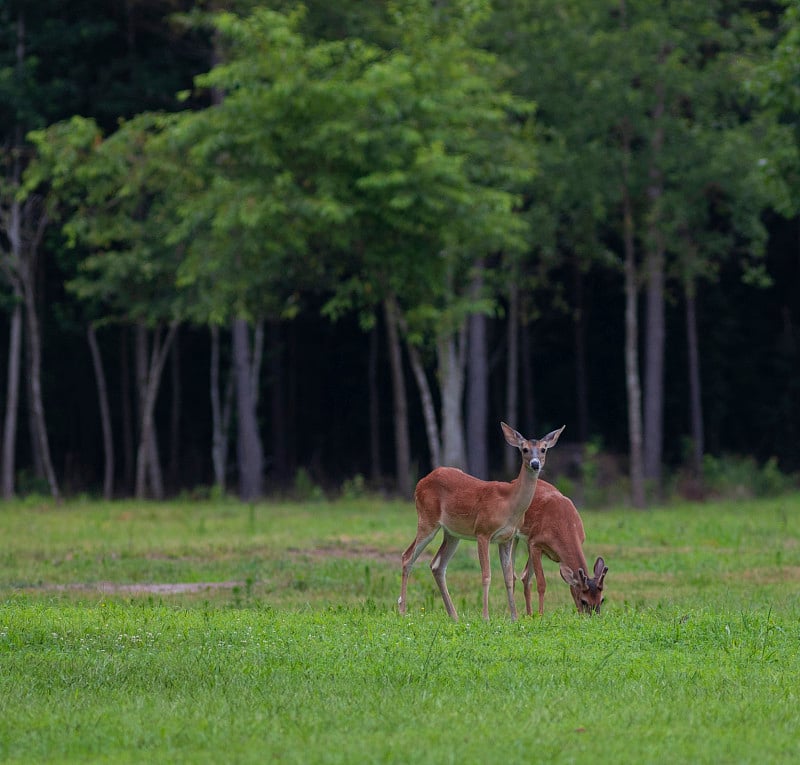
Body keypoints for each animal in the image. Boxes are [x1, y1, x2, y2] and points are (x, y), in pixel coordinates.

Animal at [396, 420, 564, 624]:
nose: (535, 463)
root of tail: (420, 482)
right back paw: (402, 610)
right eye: (524, 449)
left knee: (437, 565)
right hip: (427, 519)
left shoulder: (507, 538)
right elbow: (486, 575)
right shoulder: (483, 532)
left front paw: (514, 617)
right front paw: (486, 616)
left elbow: (509, 577)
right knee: (407, 556)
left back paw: (454, 615)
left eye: (543, 449)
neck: (510, 504)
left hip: (452, 533)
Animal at [516, 480, 608, 616]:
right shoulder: (536, 544)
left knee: (525, 577)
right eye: (584, 601)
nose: (593, 617)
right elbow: (541, 584)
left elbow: (571, 587)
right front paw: (541, 615)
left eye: (602, 600)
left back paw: (529, 615)